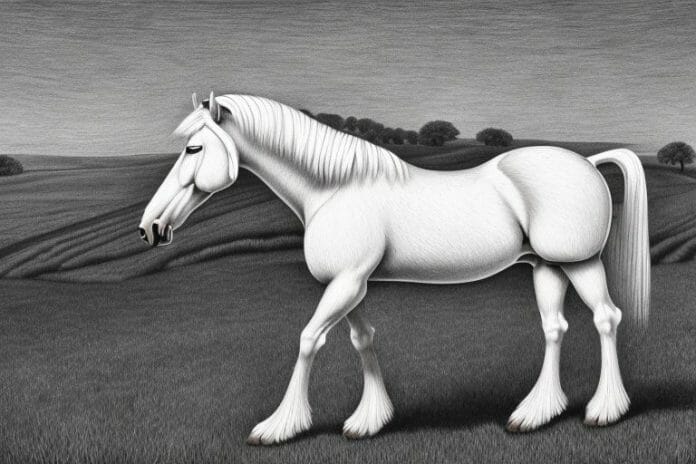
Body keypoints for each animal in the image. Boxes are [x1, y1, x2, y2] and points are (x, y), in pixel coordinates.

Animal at [138, 92, 650, 445]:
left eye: (193, 149)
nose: (151, 228)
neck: (335, 189)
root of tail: (587, 161)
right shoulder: (350, 286)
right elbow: (362, 339)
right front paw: (370, 421)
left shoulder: (345, 284)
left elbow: (308, 340)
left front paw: (279, 426)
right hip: (547, 266)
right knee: (554, 328)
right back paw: (535, 414)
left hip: (580, 263)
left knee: (606, 319)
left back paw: (605, 410)